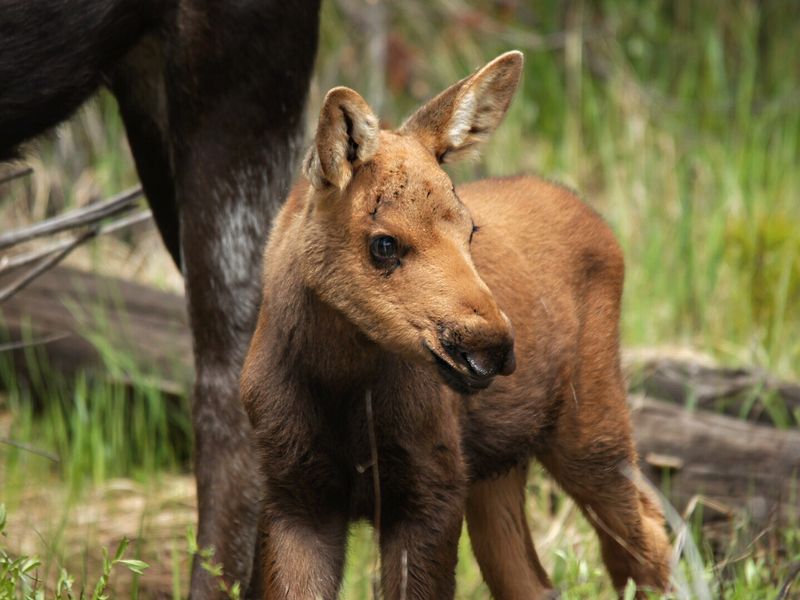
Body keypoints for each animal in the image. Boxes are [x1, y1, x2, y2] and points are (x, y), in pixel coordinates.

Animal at [241, 50, 672, 596]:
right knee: (535, 580)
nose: (494, 347)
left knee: (647, 535)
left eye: (469, 230)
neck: (340, 385)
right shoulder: (293, 493)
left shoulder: (433, 486)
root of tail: (595, 218)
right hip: (497, 466)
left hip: (590, 424)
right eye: (384, 243)